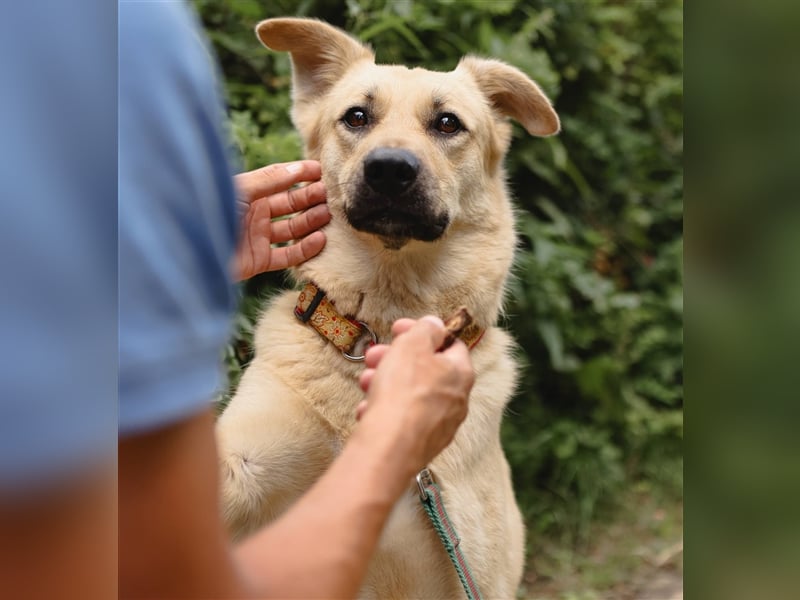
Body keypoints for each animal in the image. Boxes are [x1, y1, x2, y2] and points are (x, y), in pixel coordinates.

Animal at [216, 16, 560, 596]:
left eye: (447, 123)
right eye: (357, 116)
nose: (390, 170)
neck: (378, 327)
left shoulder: (479, 570)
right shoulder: (242, 469)